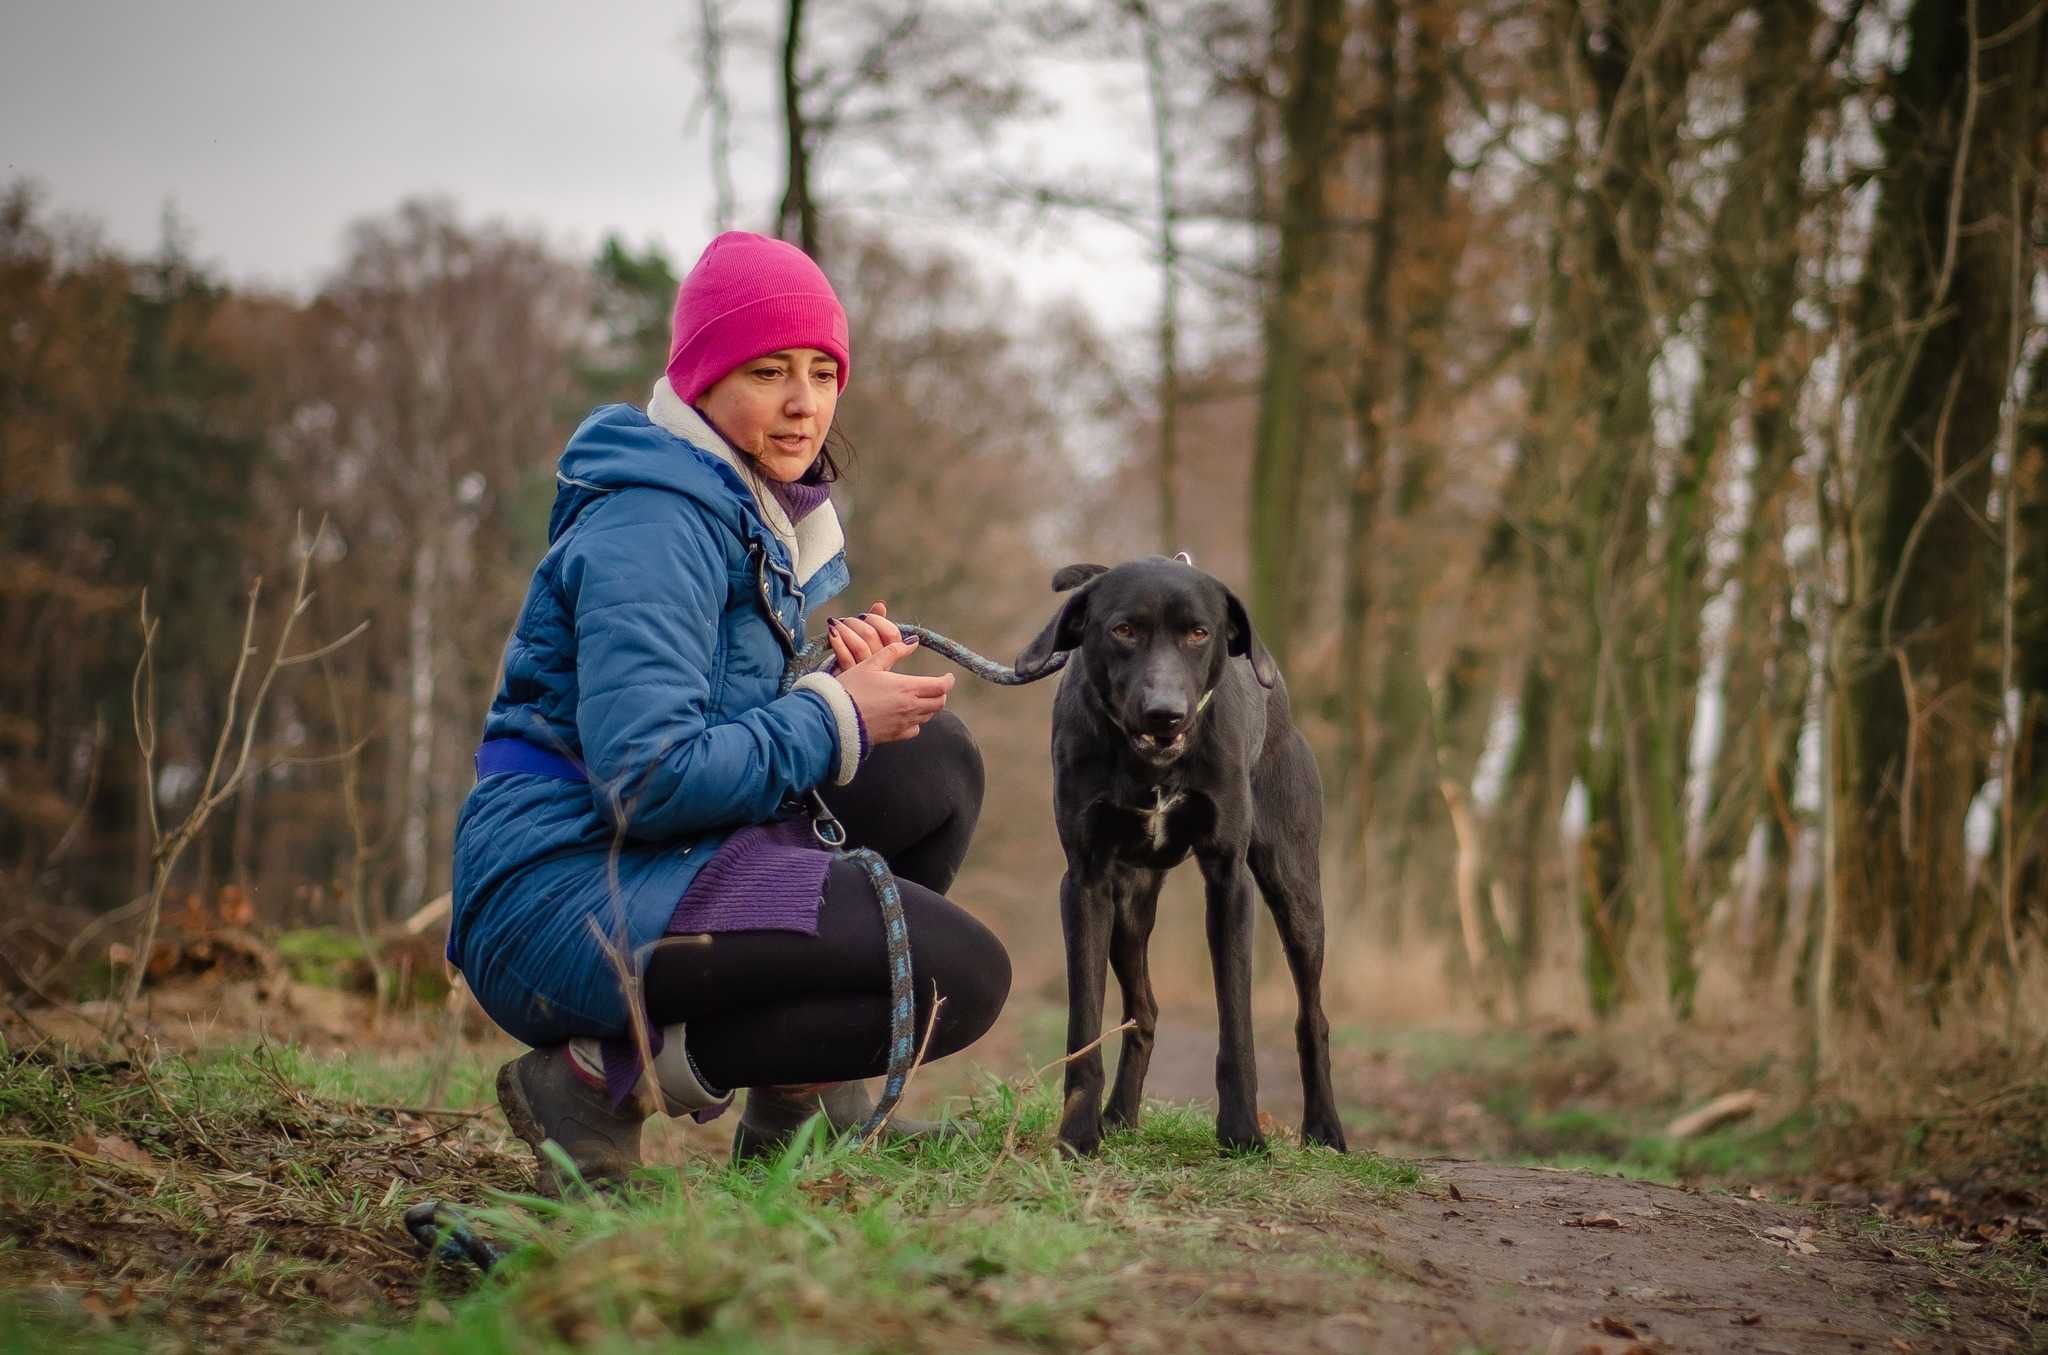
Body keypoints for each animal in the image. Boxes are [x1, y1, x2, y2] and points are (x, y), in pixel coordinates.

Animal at [1011, 556, 1343, 1154]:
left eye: (1198, 633)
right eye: (1123, 629)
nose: (1164, 713)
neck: (1152, 767)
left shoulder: (1228, 880)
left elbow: (1237, 1024)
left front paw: (1242, 1133)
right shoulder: (1086, 883)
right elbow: (1083, 1024)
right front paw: (1077, 1133)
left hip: (1296, 891)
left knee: (1313, 1016)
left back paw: (1324, 1129)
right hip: (1129, 910)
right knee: (1143, 1011)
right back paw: (1119, 1115)